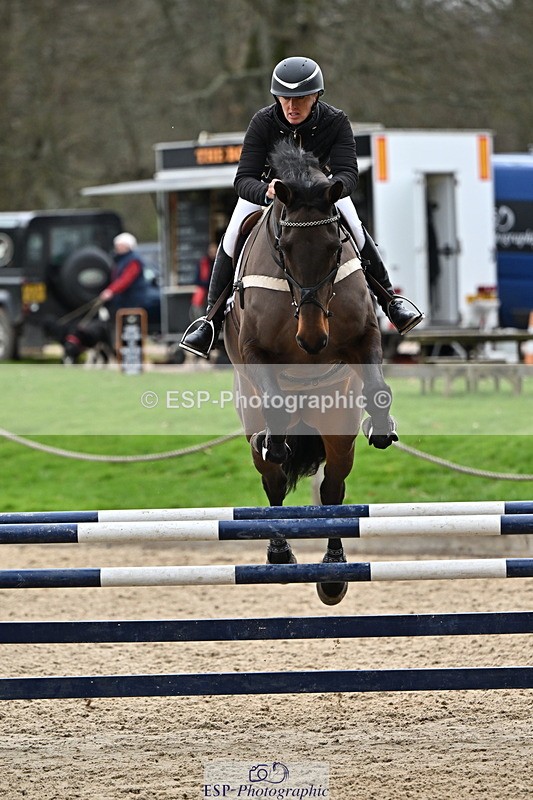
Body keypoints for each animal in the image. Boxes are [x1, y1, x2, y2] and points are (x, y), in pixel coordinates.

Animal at [224, 139, 398, 605]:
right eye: (283, 248)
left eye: (336, 247)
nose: (313, 340)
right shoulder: (254, 350)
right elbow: (275, 409)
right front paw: (277, 443)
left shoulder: (364, 337)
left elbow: (378, 388)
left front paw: (382, 427)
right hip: (251, 419)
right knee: (272, 481)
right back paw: (280, 551)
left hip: (336, 424)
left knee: (333, 491)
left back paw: (334, 571)